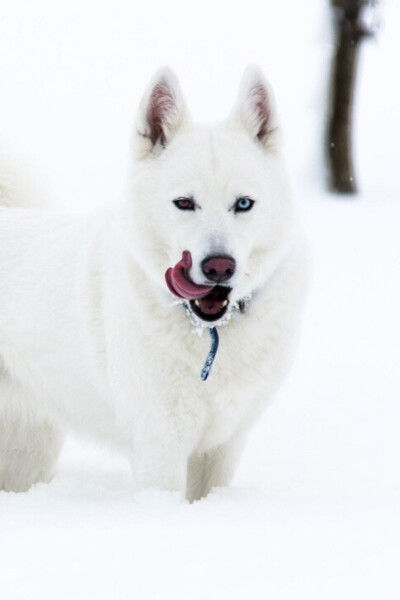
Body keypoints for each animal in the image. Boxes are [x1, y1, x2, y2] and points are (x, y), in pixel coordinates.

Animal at [0, 68, 306, 502]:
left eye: (243, 204)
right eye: (184, 203)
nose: (219, 267)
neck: (208, 334)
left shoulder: (223, 446)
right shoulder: (159, 446)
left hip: (29, 451)